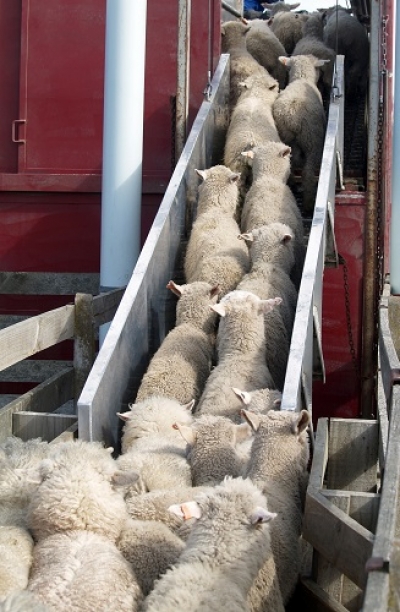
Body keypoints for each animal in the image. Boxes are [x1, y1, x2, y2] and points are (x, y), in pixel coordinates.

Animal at [274, 53, 330, 215]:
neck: (301, 78)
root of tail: (292, 116)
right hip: (312, 139)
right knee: (308, 172)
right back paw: (308, 203)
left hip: (285, 137)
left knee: (291, 163)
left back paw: (293, 184)